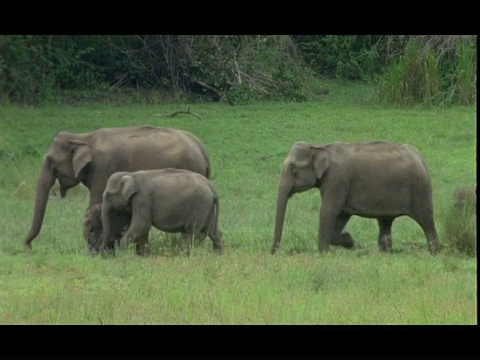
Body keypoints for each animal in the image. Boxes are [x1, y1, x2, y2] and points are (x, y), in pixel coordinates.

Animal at [24, 125, 211, 252]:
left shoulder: (103, 169)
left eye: (51, 162)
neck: (84, 137)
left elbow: (96, 205)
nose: (29, 246)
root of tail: (202, 149)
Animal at [270, 139, 438, 255]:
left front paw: (323, 253)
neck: (321, 146)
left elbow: (329, 211)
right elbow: (341, 214)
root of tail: (420, 158)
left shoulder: (337, 180)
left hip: (420, 189)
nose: (273, 253)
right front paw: (349, 240)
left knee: (426, 219)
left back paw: (434, 252)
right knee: (385, 222)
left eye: (293, 169)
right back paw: (386, 253)